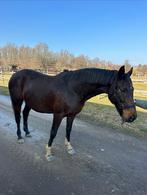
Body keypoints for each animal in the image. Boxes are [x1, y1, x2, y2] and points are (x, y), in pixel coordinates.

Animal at [8, 66, 137, 161]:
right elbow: (53, 132)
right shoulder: (58, 115)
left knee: (25, 114)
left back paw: (27, 132)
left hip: (29, 102)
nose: (132, 117)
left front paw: (69, 148)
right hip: (16, 101)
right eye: (121, 89)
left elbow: (68, 130)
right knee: (18, 117)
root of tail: (14, 75)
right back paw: (19, 137)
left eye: (132, 88)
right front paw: (48, 153)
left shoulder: (72, 115)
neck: (73, 89)